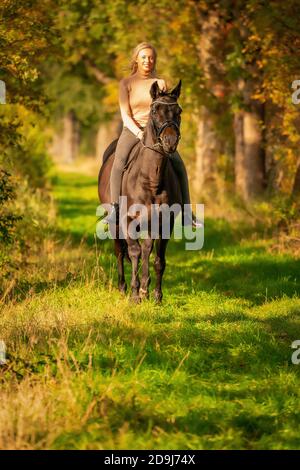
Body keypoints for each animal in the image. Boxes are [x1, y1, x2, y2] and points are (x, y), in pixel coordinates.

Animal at [99, 80, 183, 302]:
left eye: (179, 111)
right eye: (154, 110)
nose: (170, 142)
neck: (151, 179)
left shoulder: (164, 222)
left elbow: (157, 258)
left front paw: (155, 295)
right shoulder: (128, 220)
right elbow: (134, 252)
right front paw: (135, 293)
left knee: (146, 248)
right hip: (115, 222)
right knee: (121, 251)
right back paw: (123, 287)